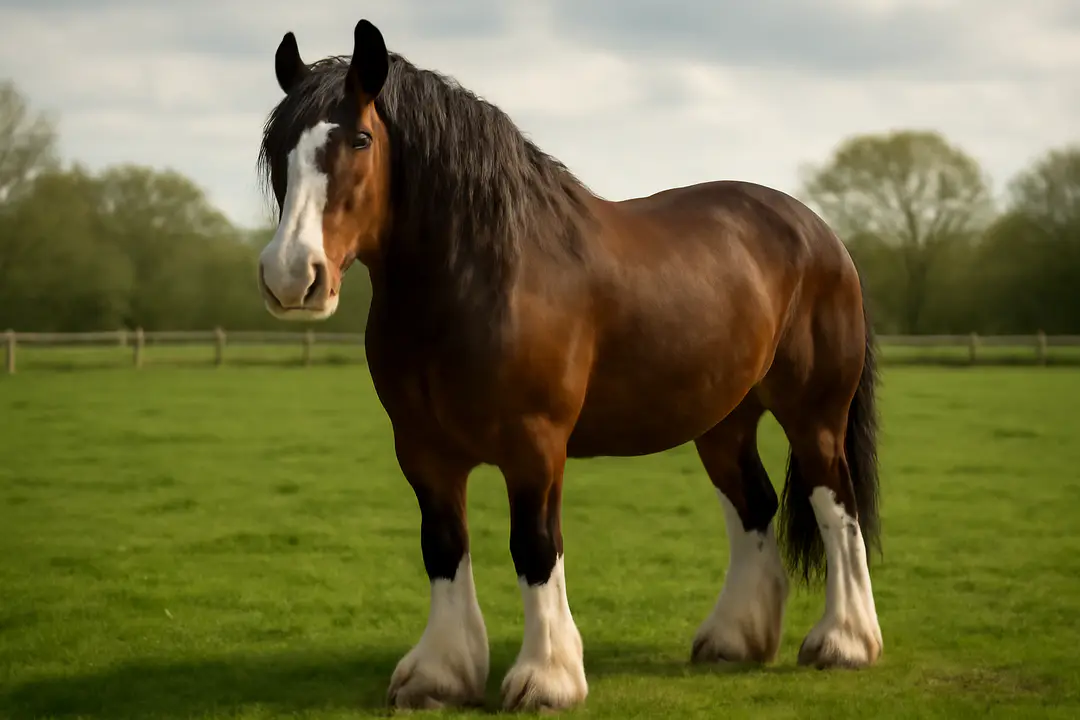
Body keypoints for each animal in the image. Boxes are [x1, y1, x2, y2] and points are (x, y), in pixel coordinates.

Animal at [255, 18, 884, 712]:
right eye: (276, 145)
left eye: (361, 139)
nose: (292, 277)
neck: (483, 276)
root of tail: (822, 235)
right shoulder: (423, 450)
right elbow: (443, 546)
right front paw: (439, 675)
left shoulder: (535, 446)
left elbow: (534, 546)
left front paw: (546, 678)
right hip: (723, 422)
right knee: (754, 505)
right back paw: (733, 639)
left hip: (815, 414)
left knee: (837, 506)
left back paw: (845, 642)